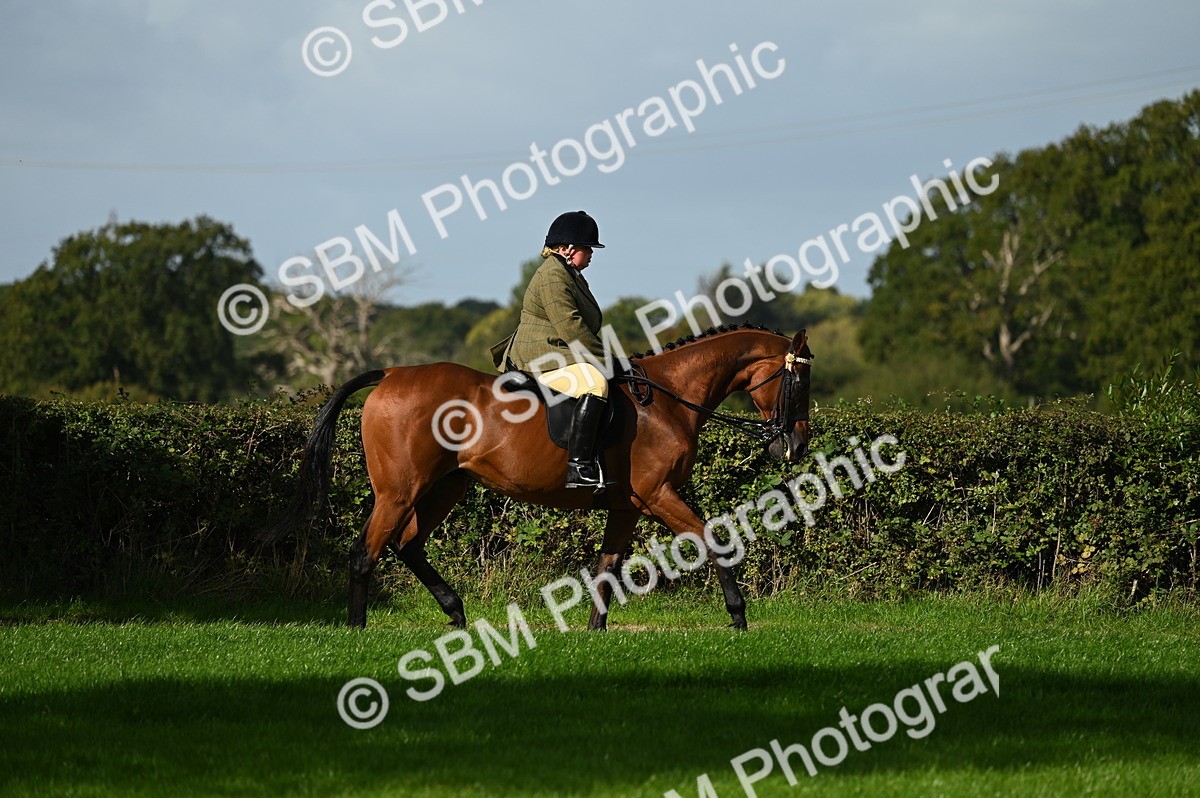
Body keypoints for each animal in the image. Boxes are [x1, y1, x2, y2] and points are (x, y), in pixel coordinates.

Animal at [264, 323, 813, 630]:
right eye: (800, 379)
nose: (797, 446)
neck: (669, 399)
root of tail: (392, 374)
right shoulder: (658, 494)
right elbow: (711, 538)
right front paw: (738, 615)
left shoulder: (627, 505)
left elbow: (608, 565)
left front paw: (595, 631)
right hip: (399, 491)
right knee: (367, 550)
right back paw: (357, 629)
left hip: (446, 486)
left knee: (408, 544)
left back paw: (455, 613)